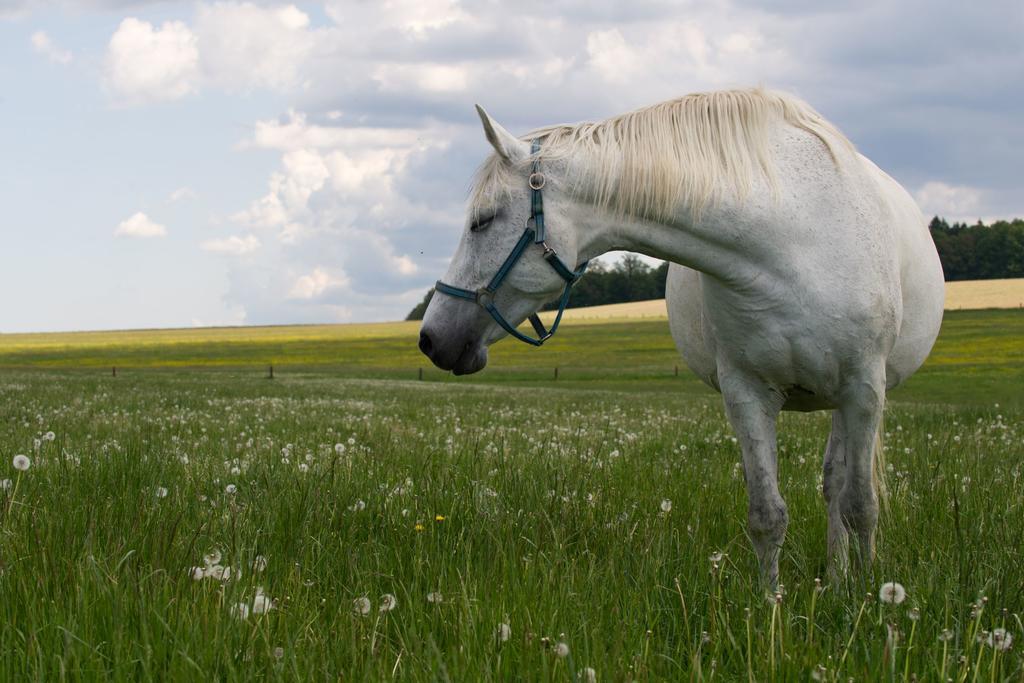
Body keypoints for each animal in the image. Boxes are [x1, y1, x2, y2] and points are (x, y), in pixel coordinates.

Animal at [419, 88, 946, 585]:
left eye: (482, 220)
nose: (431, 337)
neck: (796, 241)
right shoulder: (747, 393)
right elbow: (767, 516)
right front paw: (771, 608)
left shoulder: (864, 389)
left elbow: (862, 508)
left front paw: (866, 599)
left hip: (849, 398)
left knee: (841, 489)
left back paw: (841, 582)